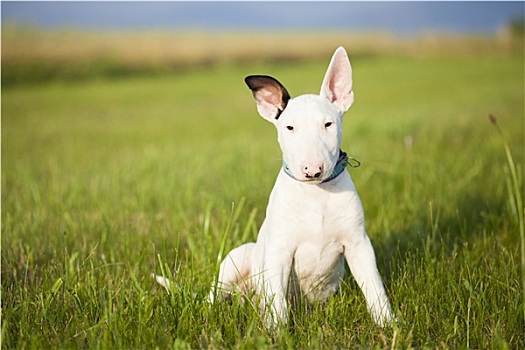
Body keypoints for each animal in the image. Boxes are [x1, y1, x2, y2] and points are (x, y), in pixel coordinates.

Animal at [207, 46, 396, 328]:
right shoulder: (280, 251)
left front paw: (389, 323)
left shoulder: (358, 244)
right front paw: (277, 330)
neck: (317, 195)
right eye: (289, 127)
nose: (312, 170)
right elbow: (277, 298)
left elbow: (374, 286)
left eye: (328, 124)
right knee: (213, 294)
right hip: (235, 260)